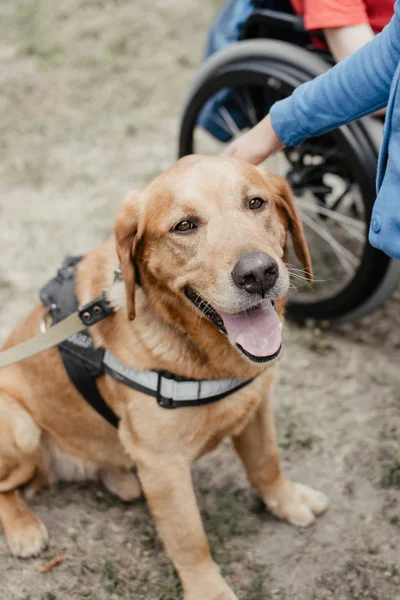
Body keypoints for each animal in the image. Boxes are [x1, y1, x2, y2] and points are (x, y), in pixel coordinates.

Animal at [0, 156, 326, 600]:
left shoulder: (257, 408)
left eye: (256, 202)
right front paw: (209, 590)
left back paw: (121, 480)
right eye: (184, 226)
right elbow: (189, 538)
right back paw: (24, 529)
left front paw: (287, 500)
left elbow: (267, 464)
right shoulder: (163, 463)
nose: (259, 273)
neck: (207, 355)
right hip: (20, 426)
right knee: (5, 489)